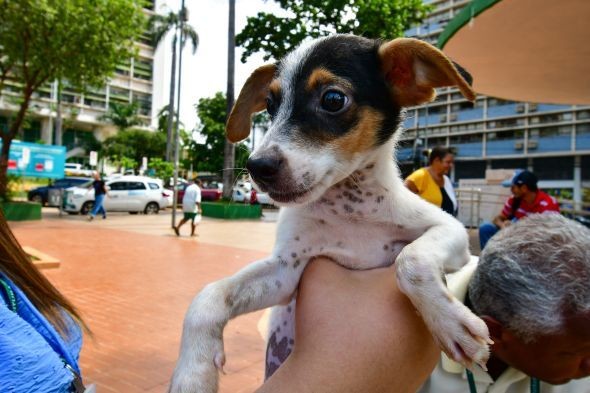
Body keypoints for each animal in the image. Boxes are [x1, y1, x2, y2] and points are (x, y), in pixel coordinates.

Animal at [170, 35, 490, 390]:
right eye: (270, 104)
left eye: (333, 99)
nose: (256, 167)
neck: (349, 209)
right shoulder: (286, 272)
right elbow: (209, 295)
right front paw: (193, 374)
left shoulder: (453, 234)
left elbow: (411, 259)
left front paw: (449, 322)